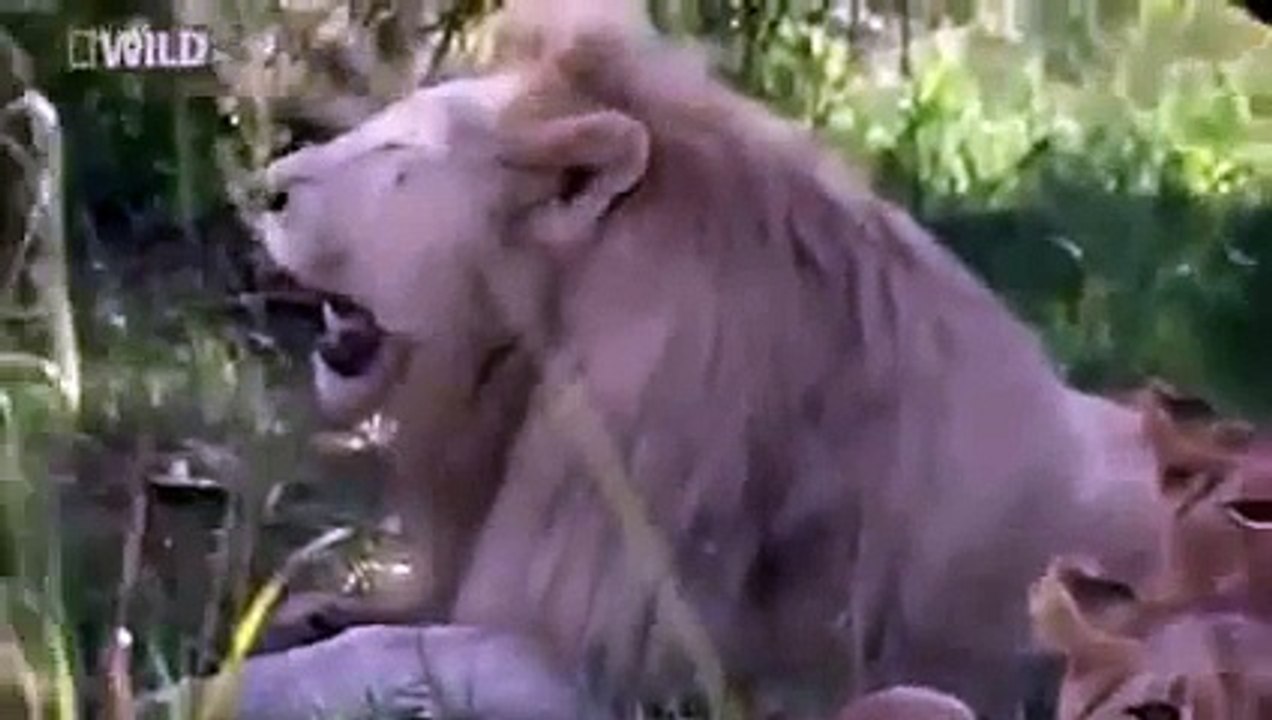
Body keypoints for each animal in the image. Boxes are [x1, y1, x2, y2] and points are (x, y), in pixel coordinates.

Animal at [255, 1, 1176, 715]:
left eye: (395, 157)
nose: (264, 185)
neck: (537, 337)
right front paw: (298, 612)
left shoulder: (617, 658)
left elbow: (373, 658)